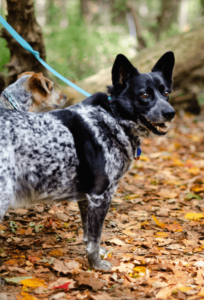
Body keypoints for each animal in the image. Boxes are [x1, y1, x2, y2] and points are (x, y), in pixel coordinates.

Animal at [0, 51, 175, 272]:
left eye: (166, 93)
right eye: (144, 95)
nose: (170, 113)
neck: (112, 117)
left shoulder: (86, 198)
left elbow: (87, 233)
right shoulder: (100, 196)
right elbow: (94, 237)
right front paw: (96, 265)